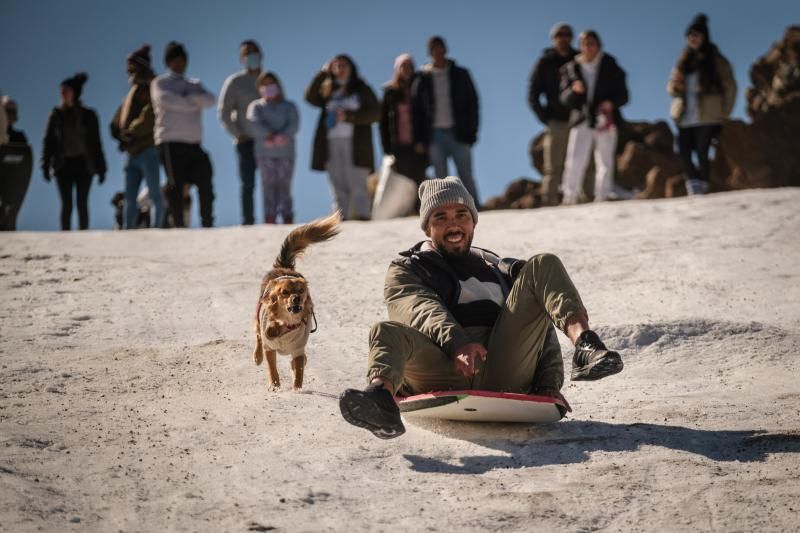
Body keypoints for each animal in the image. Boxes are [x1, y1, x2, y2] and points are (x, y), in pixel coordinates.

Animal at [250, 210, 338, 388]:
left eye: (302, 290)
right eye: (284, 292)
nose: (296, 298)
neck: (286, 324)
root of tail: (284, 267)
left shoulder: (298, 350)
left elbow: (298, 373)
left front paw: (297, 389)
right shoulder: (270, 347)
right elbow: (272, 367)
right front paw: (275, 385)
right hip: (258, 320)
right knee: (258, 337)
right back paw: (257, 356)